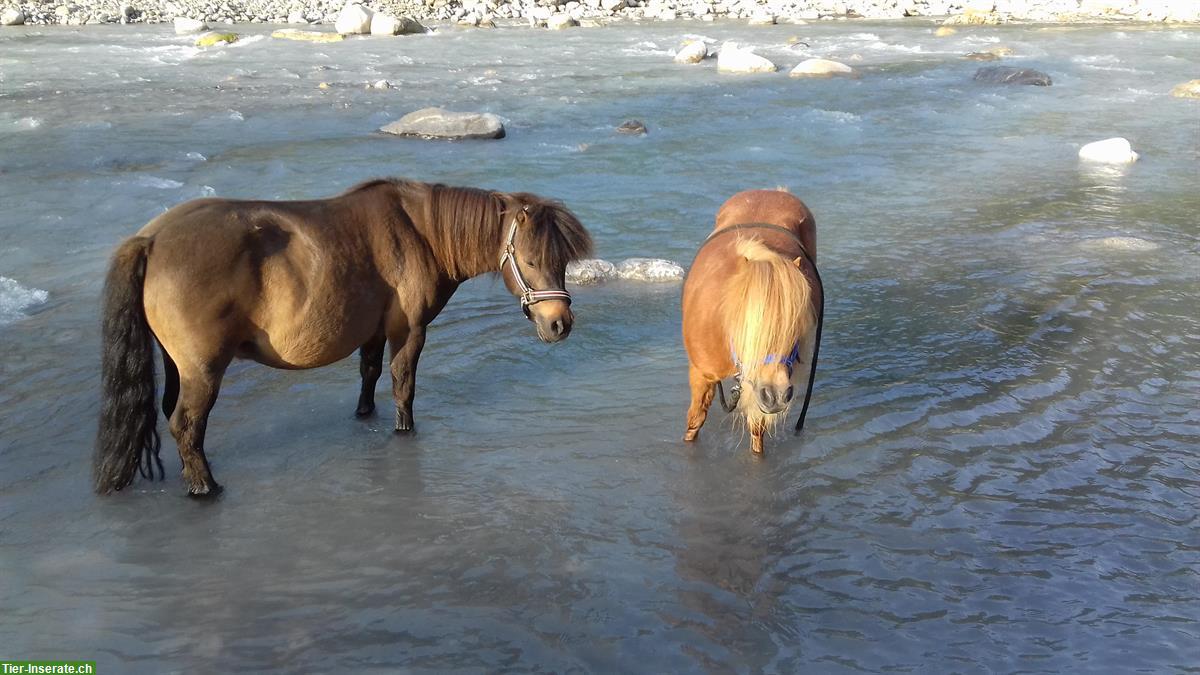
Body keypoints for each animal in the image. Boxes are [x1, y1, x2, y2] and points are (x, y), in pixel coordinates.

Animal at [96, 178, 592, 494]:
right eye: (530, 259)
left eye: (562, 258)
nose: (560, 324)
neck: (419, 233)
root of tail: (151, 240)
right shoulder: (409, 330)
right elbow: (403, 383)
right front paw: (404, 429)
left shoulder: (373, 329)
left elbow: (369, 373)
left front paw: (364, 413)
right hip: (202, 369)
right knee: (185, 423)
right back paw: (205, 487)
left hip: (176, 364)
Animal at [681, 189, 820, 451]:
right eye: (750, 327)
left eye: (797, 330)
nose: (776, 395)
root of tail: (775, 192)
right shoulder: (701, 374)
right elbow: (695, 421)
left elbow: (757, 433)